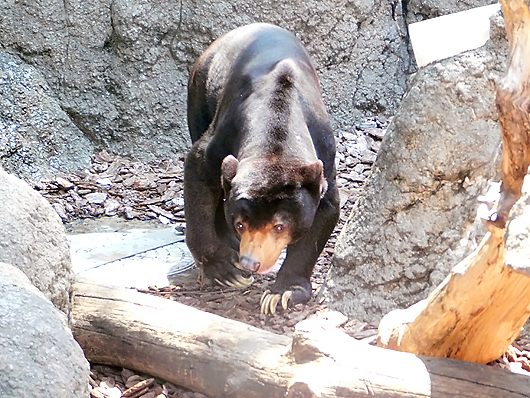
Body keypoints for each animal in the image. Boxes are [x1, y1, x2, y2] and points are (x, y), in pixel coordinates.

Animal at [182, 22, 338, 314]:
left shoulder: (325, 153)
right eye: (241, 224)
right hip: (200, 91)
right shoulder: (224, 135)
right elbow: (199, 171)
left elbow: (326, 210)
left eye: (279, 227)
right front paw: (225, 271)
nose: (250, 262)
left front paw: (283, 293)